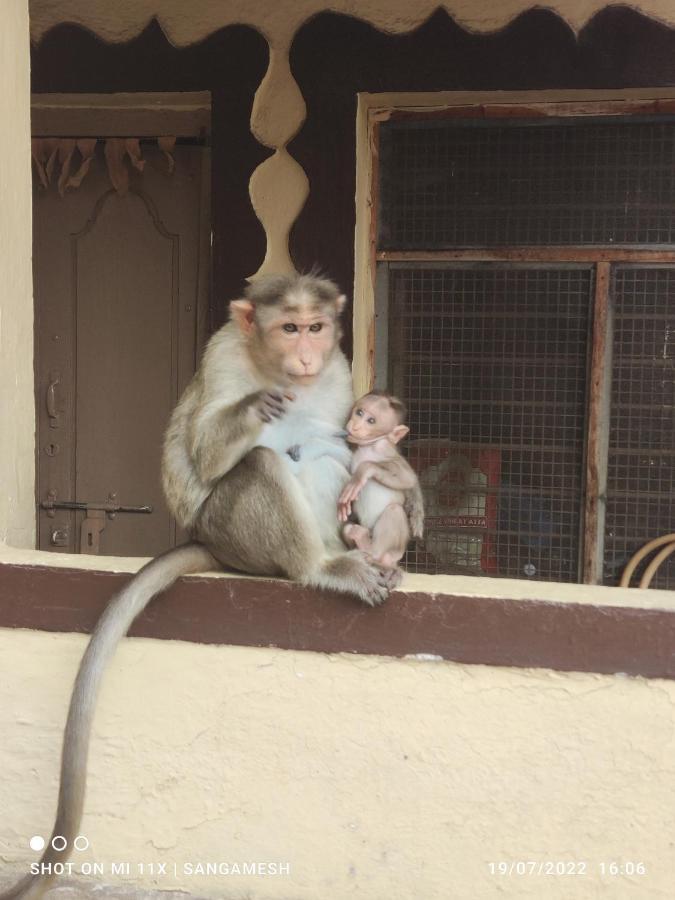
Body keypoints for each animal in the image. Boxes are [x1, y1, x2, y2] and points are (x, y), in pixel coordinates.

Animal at [1, 272, 396, 900]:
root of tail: (211, 544)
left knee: (323, 454)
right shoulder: (222, 357)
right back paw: (317, 567)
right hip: (231, 528)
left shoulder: (339, 371)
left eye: (316, 327)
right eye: (289, 327)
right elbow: (208, 455)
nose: (307, 356)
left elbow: (348, 446)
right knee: (261, 464)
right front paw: (254, 409)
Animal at [340, 388, 426, 568]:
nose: (355, 426)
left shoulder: (385, 449)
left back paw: (373, 552)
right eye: (359, 412)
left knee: (394, 511)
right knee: (347, 529)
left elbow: (409, 478)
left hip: (396, 548)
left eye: (371, 420)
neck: (369, 446)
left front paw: (364, 470)